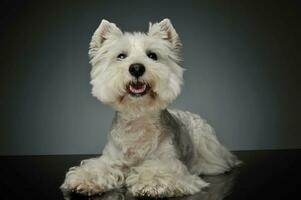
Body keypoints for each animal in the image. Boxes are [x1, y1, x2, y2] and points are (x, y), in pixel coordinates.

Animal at [59, 18, 240, 198]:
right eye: (121, 56)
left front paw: (152, 183)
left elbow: (159, 170)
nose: (136, 68)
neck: (138, 118)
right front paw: (84, 179)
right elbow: (98, 167)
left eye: (152, 55)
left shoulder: (169, 162)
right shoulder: (111, 159)